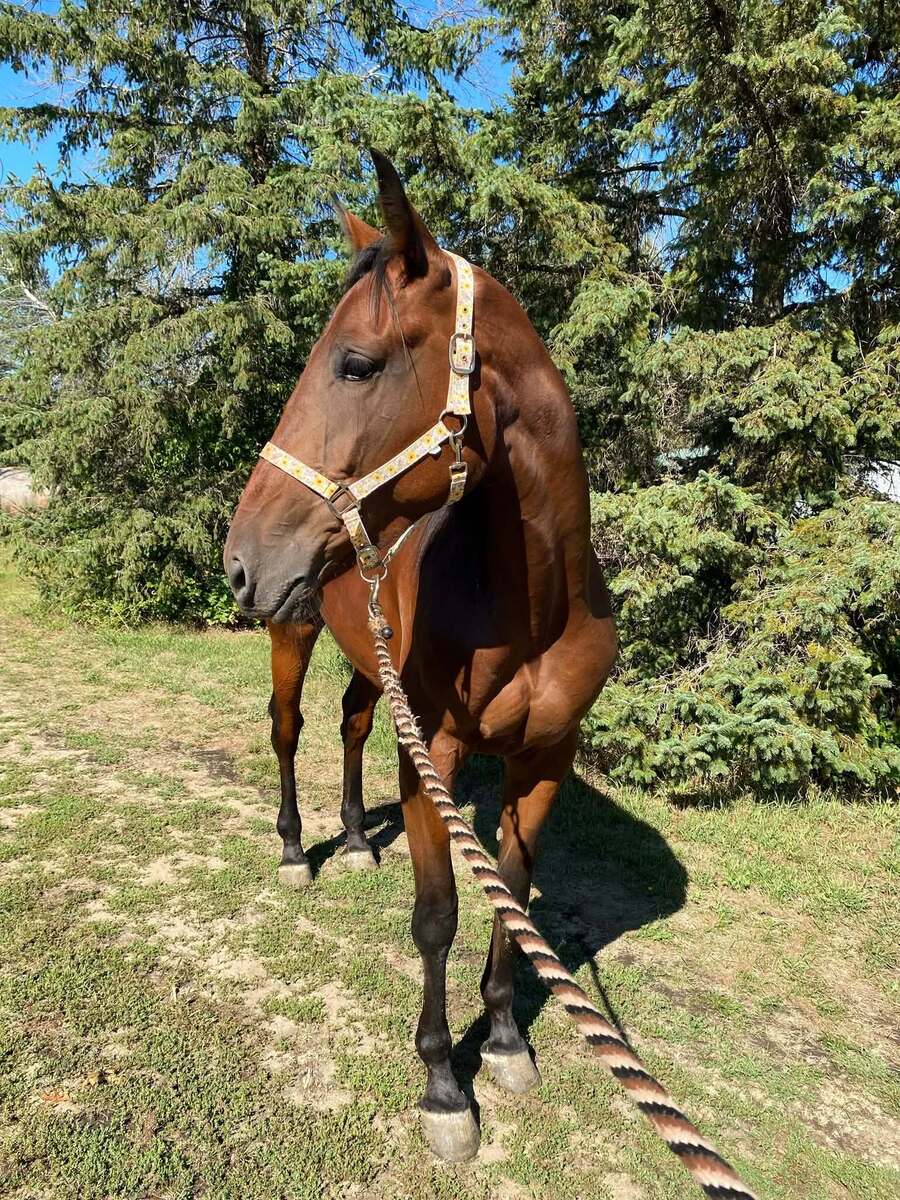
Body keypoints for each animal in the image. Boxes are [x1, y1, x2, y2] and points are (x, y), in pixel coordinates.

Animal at [225, 151, 618, 1162]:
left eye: (357, 365)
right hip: (293, 631)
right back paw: (299, 849)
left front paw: (509, 1040)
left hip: (371, 669)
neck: (532, 606)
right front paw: (445, 1084)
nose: (239, 560)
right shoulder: (433, 754)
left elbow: (512, 895)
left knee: (352, 726)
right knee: (289, 731)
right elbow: (438, 915)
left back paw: (360, 838)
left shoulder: (543, 758)